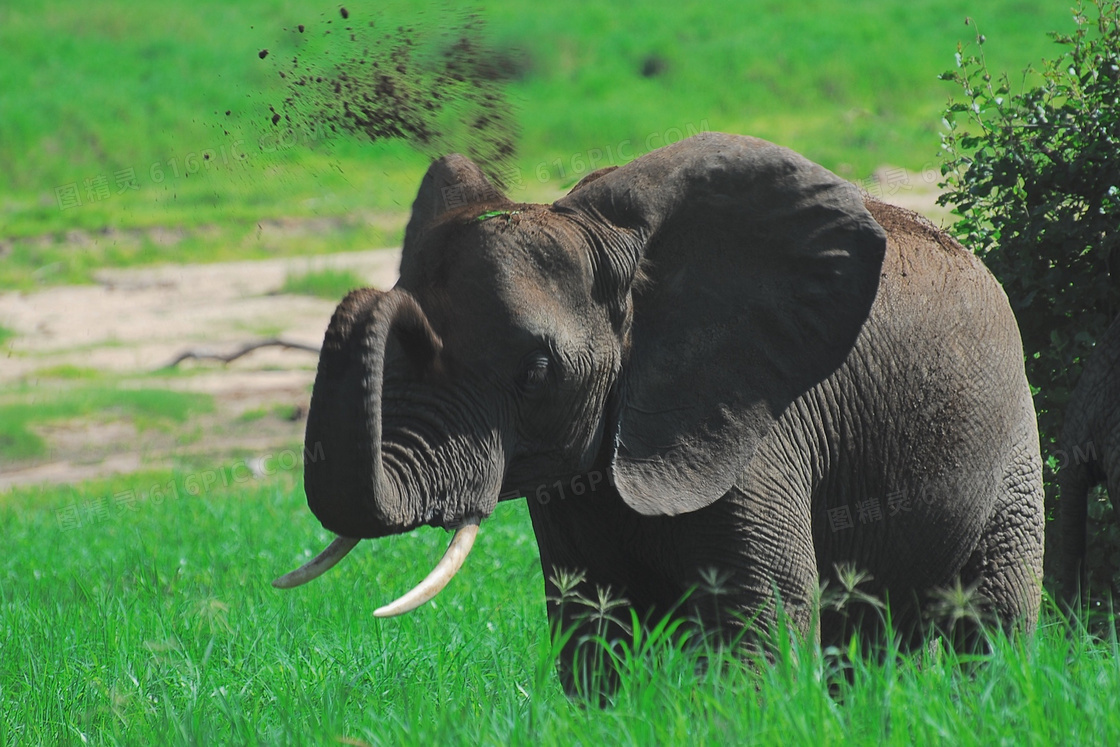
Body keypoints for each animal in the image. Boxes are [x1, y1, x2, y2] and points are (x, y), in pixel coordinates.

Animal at [275, 129, 1043, 689]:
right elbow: (594, 621)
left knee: (989, 619)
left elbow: (760, 616)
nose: (384, 297)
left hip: (1014, 437)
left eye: (536, 371)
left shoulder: (744, 424)